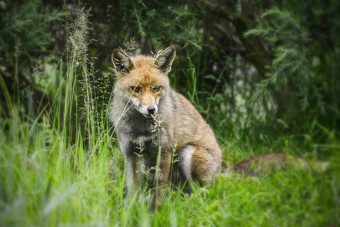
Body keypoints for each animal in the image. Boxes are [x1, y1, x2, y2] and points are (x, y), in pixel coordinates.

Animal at [109, 45, 326, 210]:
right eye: (136, 89)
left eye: (156, 88)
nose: (151, 110)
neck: (141, 128)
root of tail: (221, 170)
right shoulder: (130, 154)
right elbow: (132, 190)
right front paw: (130, 211)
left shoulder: (165, 151)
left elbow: (160, 189)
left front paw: (157, 210)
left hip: (187, 153)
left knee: (208, 189)